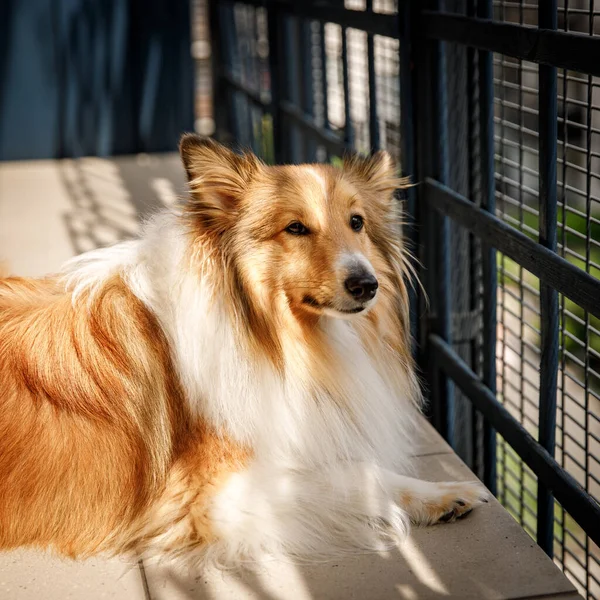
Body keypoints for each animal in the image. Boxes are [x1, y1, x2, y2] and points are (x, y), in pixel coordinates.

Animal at [0, 136, 488, 568]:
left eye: (357, 222)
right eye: (295, 227)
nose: (366, 284)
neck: (271, 333)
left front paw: (444, 494)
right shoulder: (212, 498)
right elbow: (358, 473)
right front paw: (441, 494)